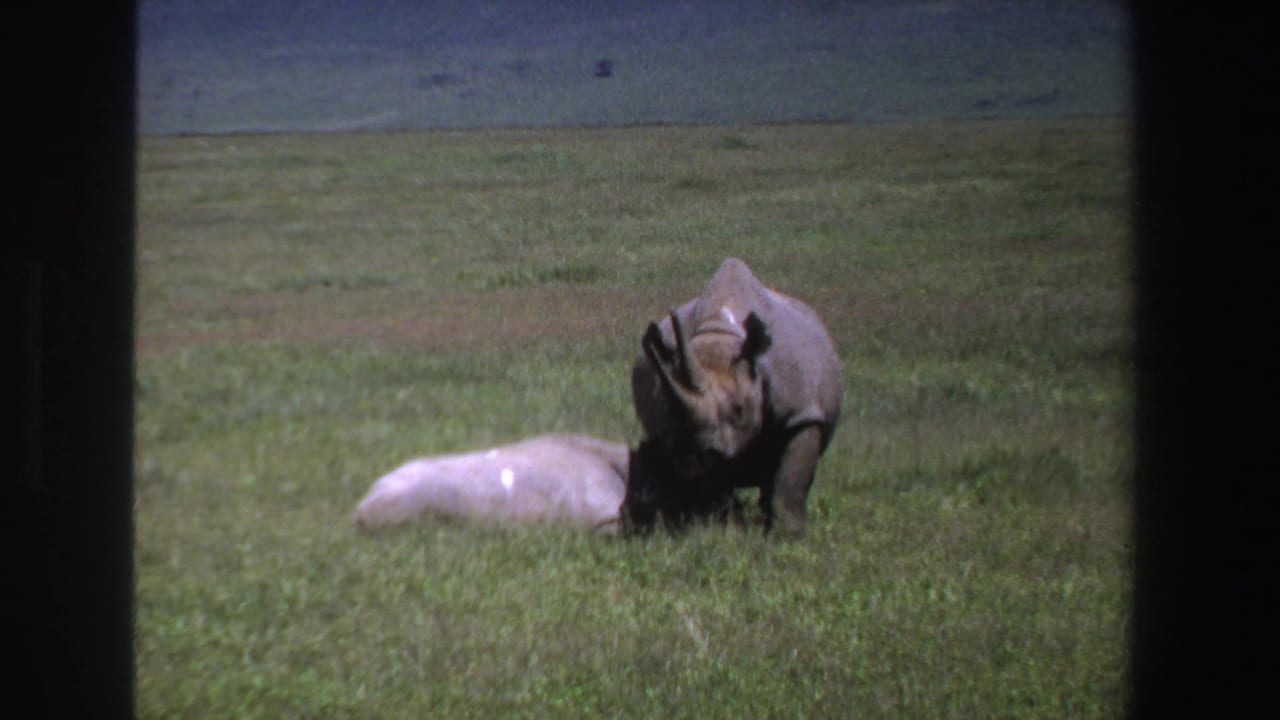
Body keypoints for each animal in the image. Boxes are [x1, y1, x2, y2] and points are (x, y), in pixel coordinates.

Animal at [624, 258, 842, 536]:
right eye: (671, 412)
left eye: (740, 411)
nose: (692, 456)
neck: (720, 335)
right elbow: (712, 484)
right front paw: (715, 529)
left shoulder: (801, 412)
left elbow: (791, 480)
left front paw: (787, 536)